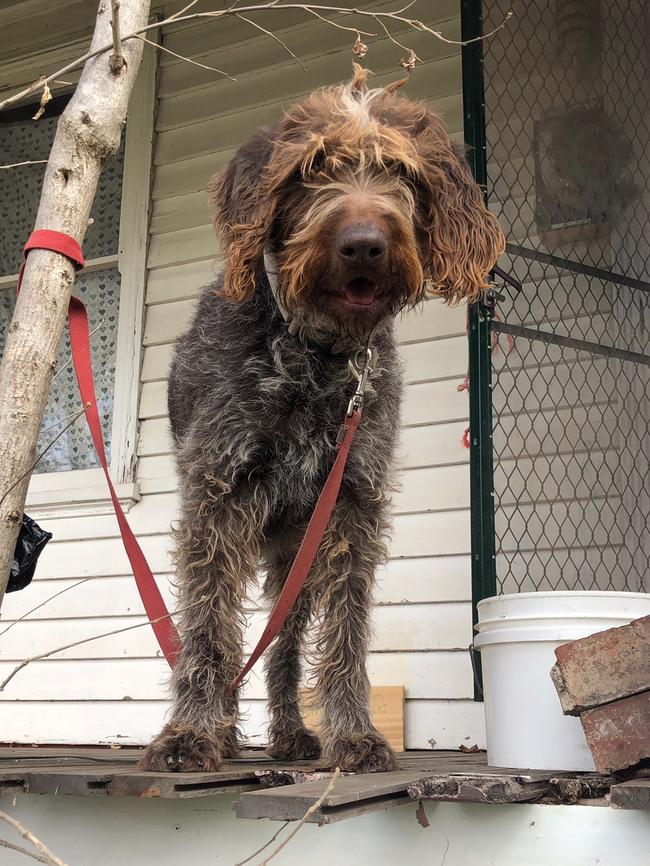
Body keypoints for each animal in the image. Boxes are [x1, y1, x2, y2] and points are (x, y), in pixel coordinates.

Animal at [143, 66, 502, 768]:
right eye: (314, 168)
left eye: (400, 170)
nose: (364, 246)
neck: (319, 353)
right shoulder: (219, 495)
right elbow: (207, 630)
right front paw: (191, 734)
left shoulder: (350, 506)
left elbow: (346, 631)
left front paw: (354, 734)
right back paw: (223, 727)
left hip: (294, 562)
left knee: (281, 653)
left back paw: (289, 733)